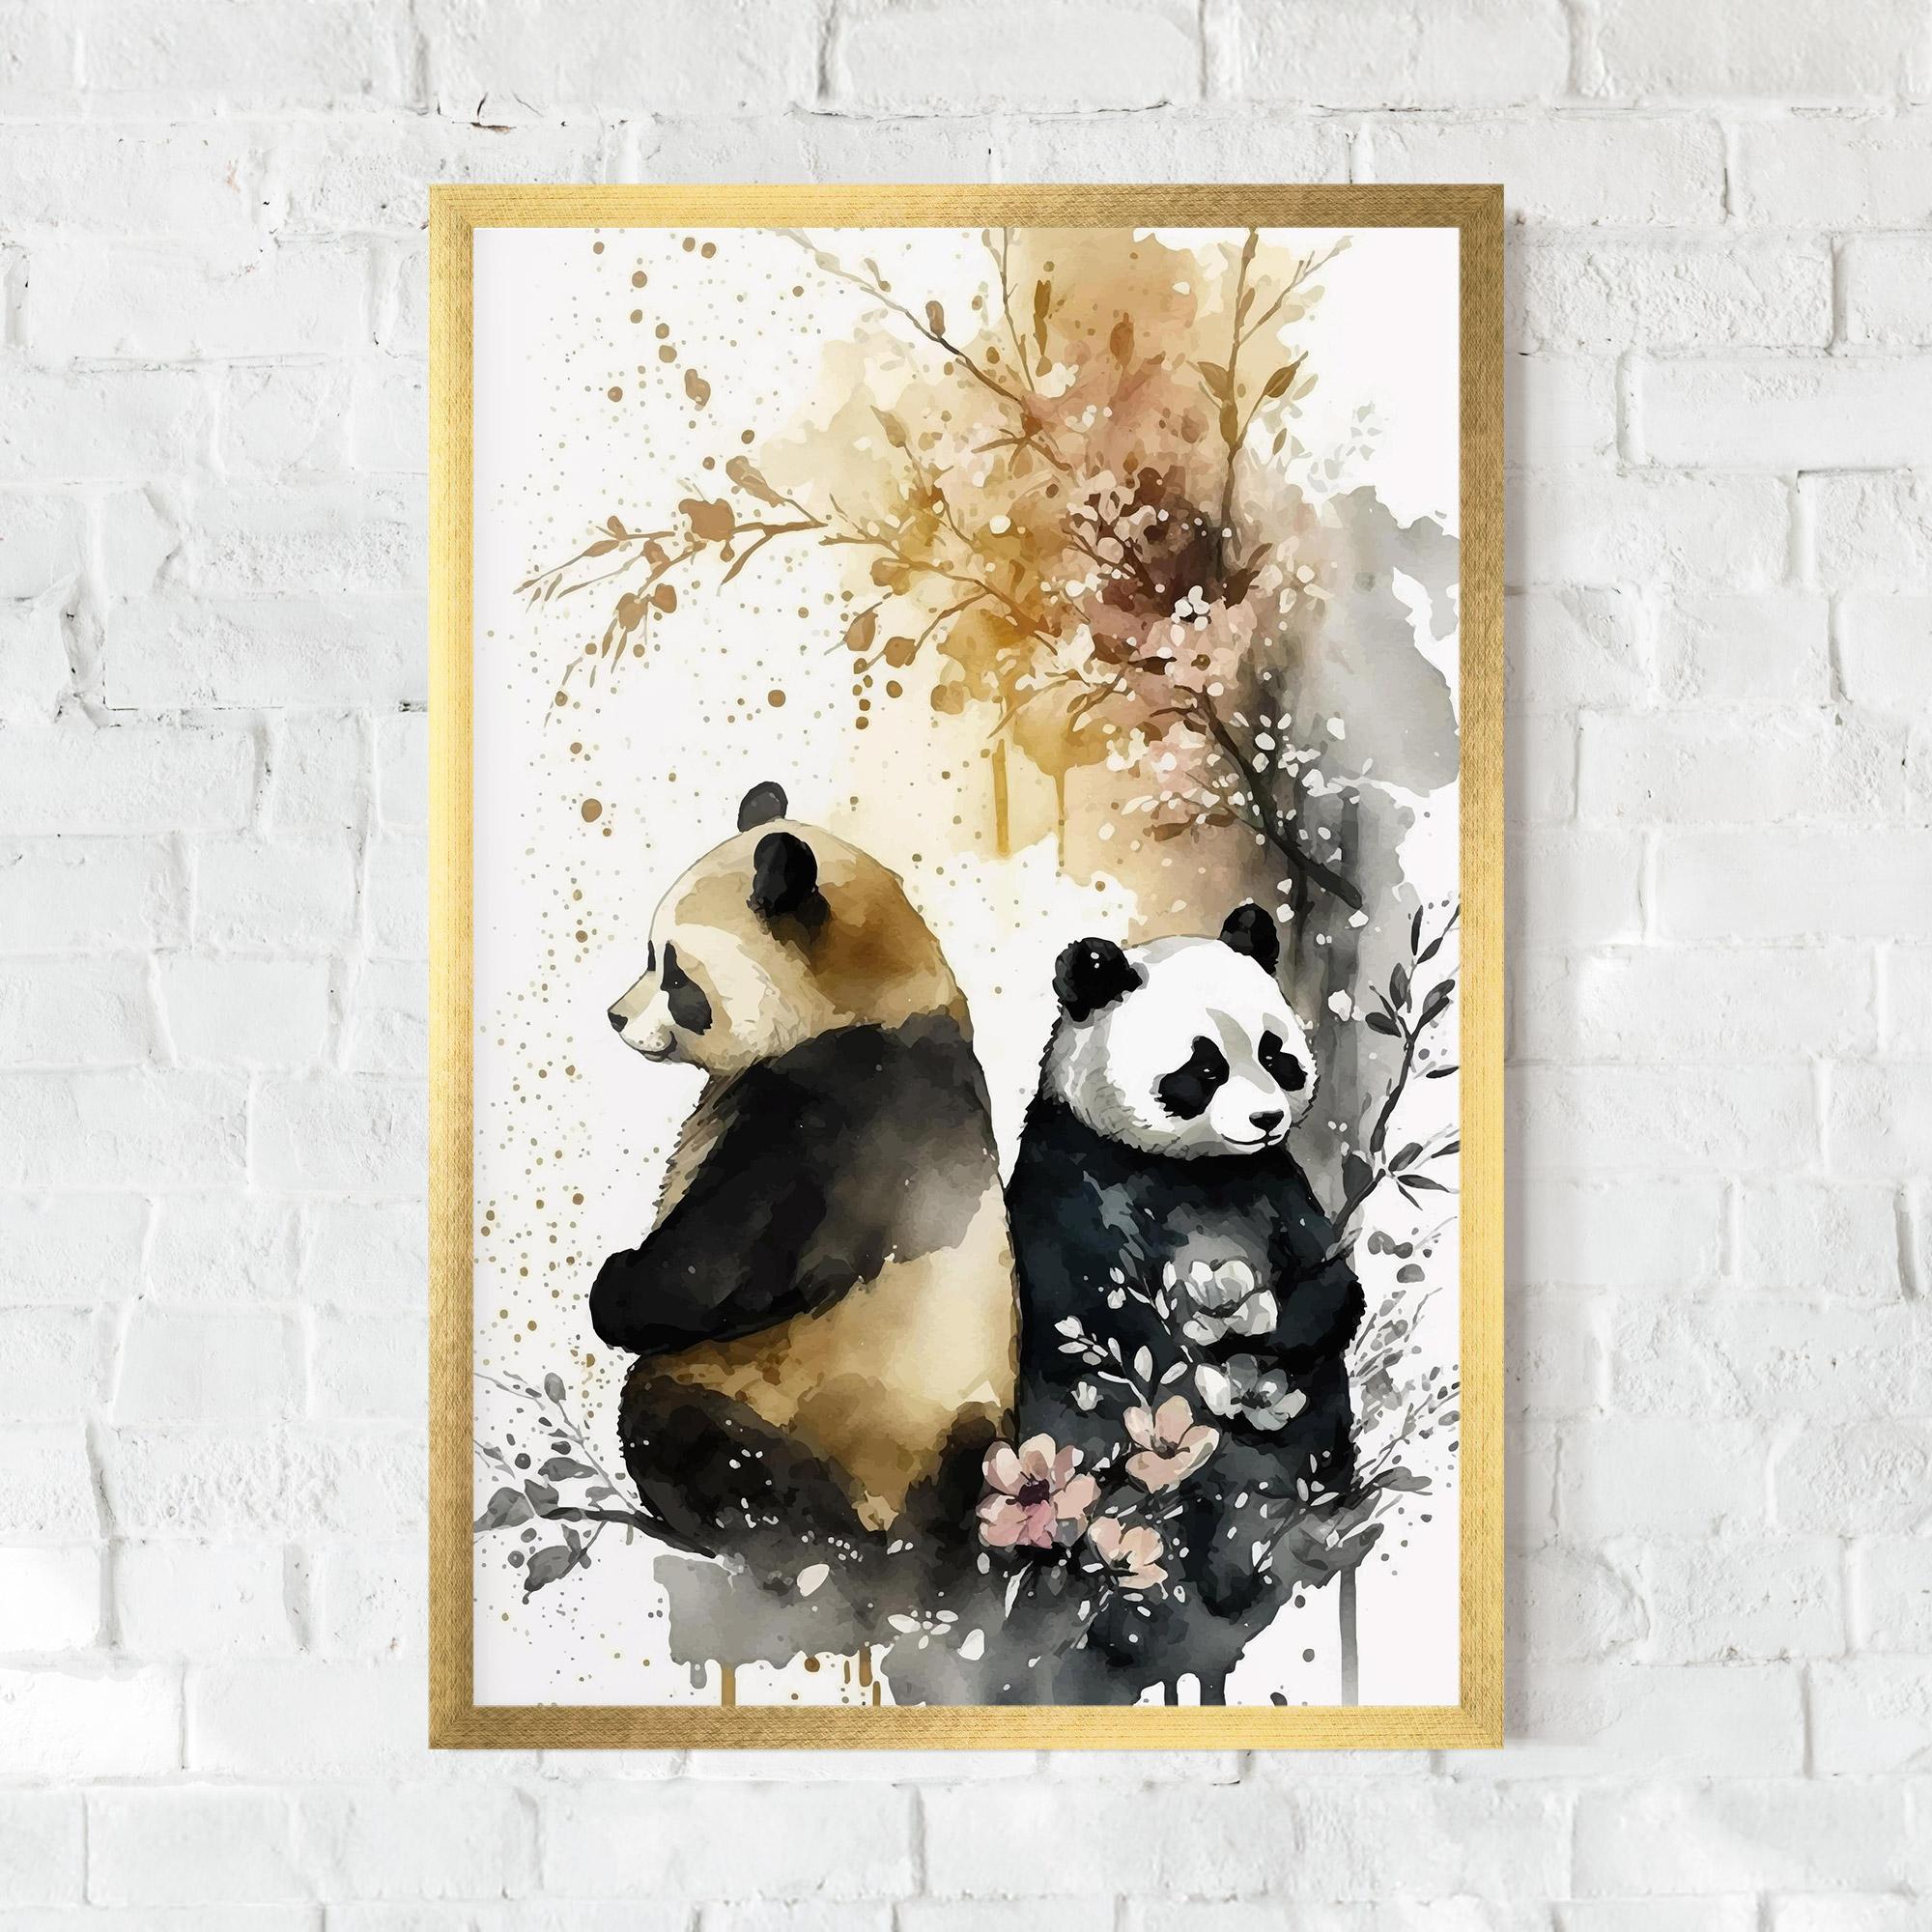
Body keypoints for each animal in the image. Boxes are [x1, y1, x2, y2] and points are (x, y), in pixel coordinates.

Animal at [590, 781, 1017, 1615]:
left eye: (676, 977)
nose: (615, 1016)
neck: (876, 992)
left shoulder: (845, 1109)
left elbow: (726, 1262)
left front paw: (614, 1285)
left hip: (791, 1406)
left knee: (692, 1435)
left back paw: (798, 1543)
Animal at [1004, 902, 1364, 1699]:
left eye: (1275, 1053)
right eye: (1203, 1069)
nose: (1266, 1119)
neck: (1195, 1168)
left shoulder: (1271, 1182)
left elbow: (1334, 1284)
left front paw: (1258, 1342)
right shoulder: (1076, 1175)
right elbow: (1102, 1316)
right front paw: (1206, 1358)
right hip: (1086, 1459)